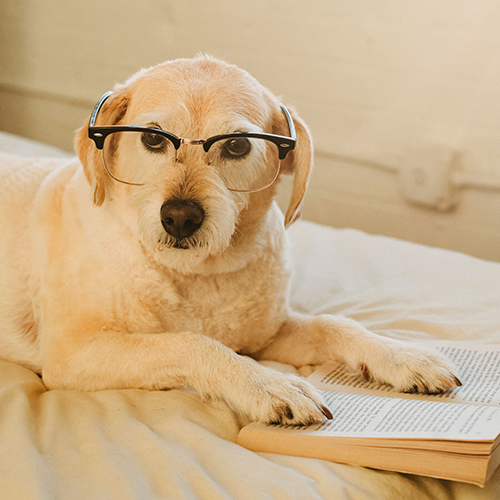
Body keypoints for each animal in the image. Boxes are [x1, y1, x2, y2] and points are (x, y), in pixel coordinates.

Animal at [0, 56, 460, 424]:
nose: (180, 217)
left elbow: (334, 324)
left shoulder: (268, 335)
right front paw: (268, 384)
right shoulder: (73, 355)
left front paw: (403, 356)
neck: (199, 274)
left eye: (237, 146)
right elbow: (189, 342)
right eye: (152, 138)